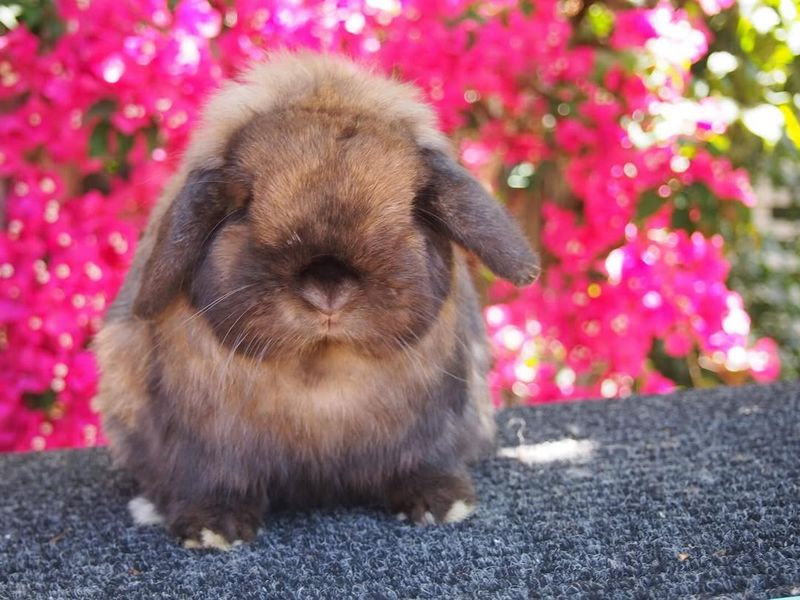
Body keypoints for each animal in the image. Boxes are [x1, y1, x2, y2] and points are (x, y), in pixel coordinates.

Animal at [94, 54, 536, 552]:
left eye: (412, 208)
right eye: (243, 206)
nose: (328, 288)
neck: (321, 367)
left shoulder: (432, 433)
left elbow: (424, 463)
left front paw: (442, 503)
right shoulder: (201, 449)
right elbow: (209, 481)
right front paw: (213, 529)